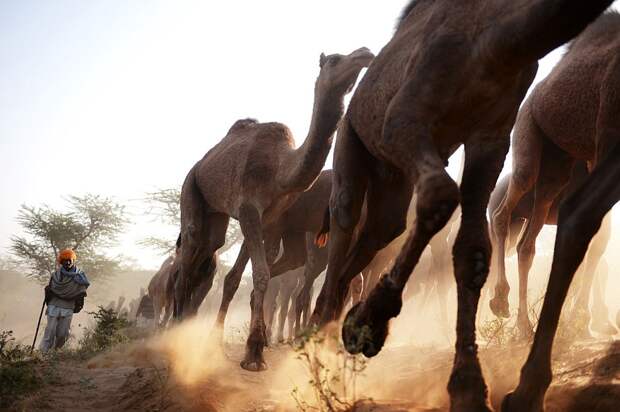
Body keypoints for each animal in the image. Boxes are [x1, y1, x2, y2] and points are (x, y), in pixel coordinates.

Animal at [174, 46, 372, 372]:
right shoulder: (249, 210)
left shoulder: (268, 219)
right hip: (191, 187)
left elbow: (243, 277)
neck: (281, 171)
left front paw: (244, 347)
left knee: (211, 251)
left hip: (218, 215)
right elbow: (261, 275)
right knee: (187, 254)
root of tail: (201, 162)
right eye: (334, 60)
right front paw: (254, 354)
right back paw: (168, 336)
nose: (365, 53)